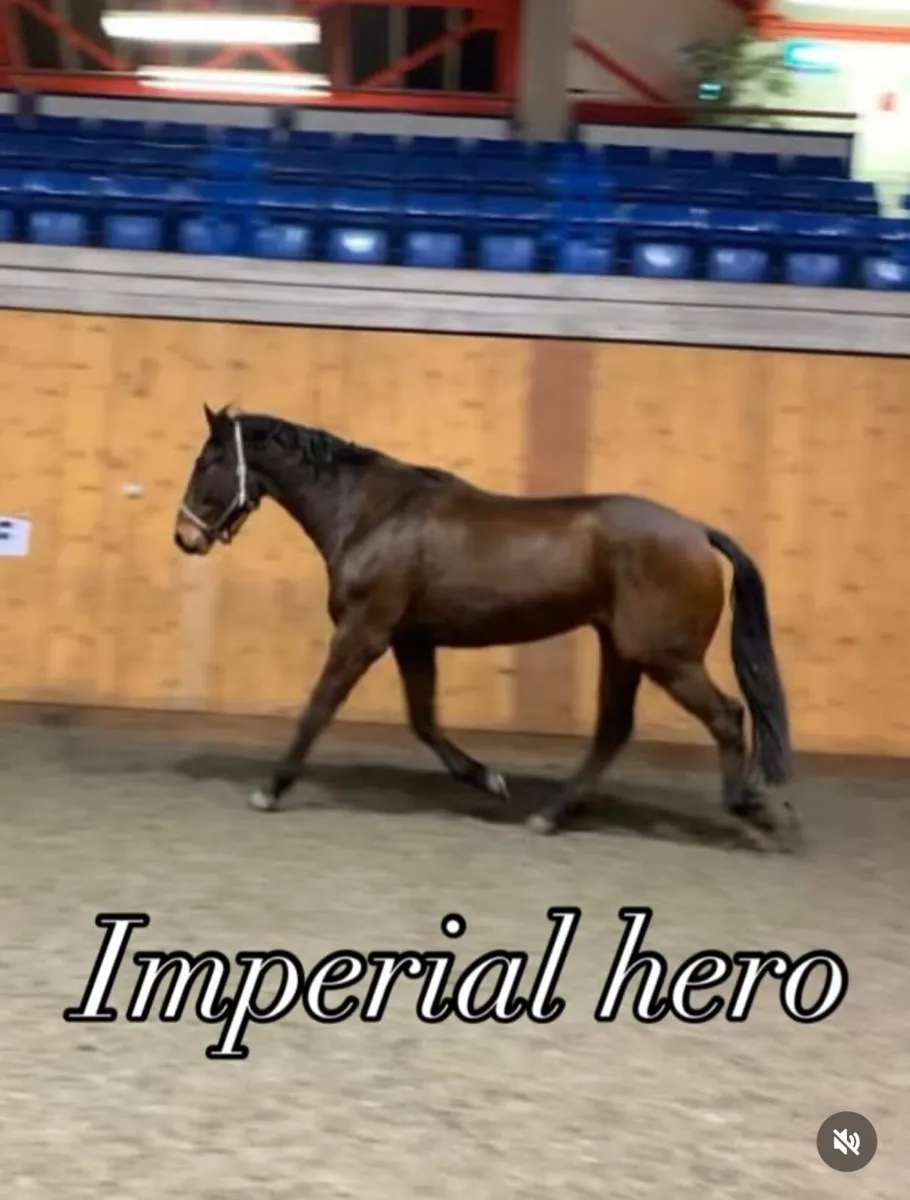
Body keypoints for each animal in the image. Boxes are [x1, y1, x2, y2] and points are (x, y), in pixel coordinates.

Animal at [174, 404, 798, 847]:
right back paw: (550, 815)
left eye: (206, 463)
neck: (373, 513)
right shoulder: (411, 639)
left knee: (726, 715)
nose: (184, 538)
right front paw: (489, 779)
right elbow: (424, 721)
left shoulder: (363, 633)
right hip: (622, 650)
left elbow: (319, 707)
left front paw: (270, 789)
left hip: (665, 656)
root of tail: (696, 531)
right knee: (614, 729)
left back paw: (751, 808)